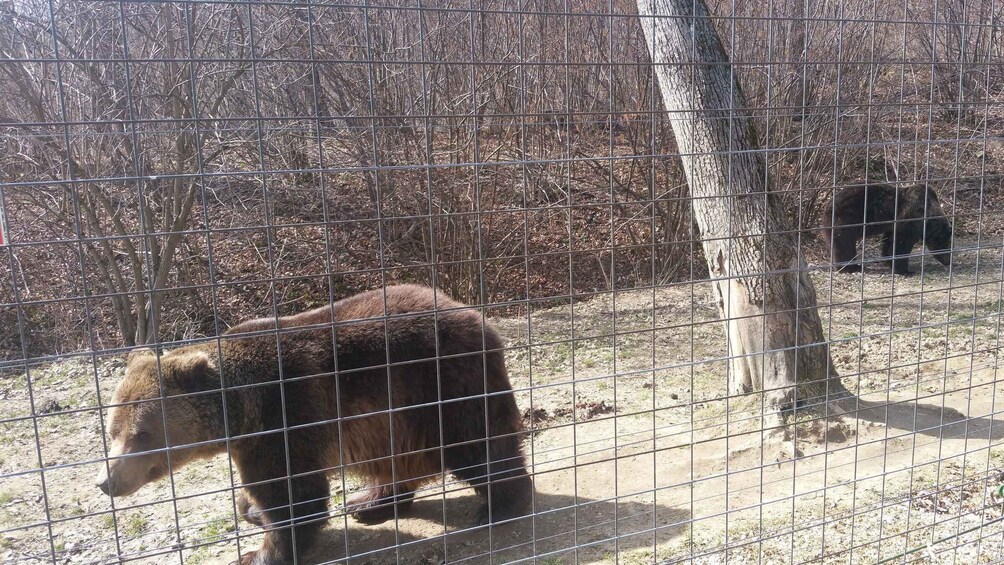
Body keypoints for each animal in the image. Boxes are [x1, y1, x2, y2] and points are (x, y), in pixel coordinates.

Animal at [94, 287, 534, 565]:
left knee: (477, 444)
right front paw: (251, 511)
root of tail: (477, 317)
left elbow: (293, 493)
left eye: (142, 434)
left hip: (443, 383)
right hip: (397, 412)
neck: (241, 411)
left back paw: (498, 506)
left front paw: (256, 554)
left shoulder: (286, 416)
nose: (106, 481)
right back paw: (369, 503)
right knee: (393, 457)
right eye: (112, 431)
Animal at [823, 182, 955, 274]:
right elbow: (900, 244)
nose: (948, 262)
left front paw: (889, 262)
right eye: (947, 245)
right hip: (846, 219)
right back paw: (849, 267)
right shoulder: (909, 222)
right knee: (844, 244)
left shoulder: (893, 226)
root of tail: (828, 205)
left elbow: (889, 242)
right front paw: (905, 270)